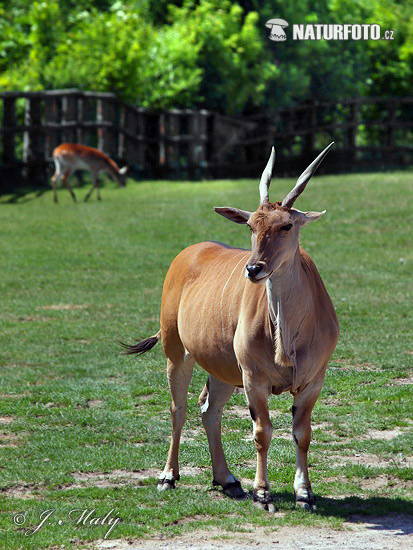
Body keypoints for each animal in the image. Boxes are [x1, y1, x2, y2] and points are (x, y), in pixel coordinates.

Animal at [124, 143, 340, 512]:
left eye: (287, 226)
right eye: (251, 225)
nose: (254, 269)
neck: (288, 337)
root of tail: (189, 252)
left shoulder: (313, 381)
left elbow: (302, 433)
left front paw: (304, 494)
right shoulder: (254, 378)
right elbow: (262, 432)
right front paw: (263, 493)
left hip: (223, 368)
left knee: (209, 410)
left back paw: (227, 480)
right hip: (176, 353)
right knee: (179, 409)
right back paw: (168, 476)